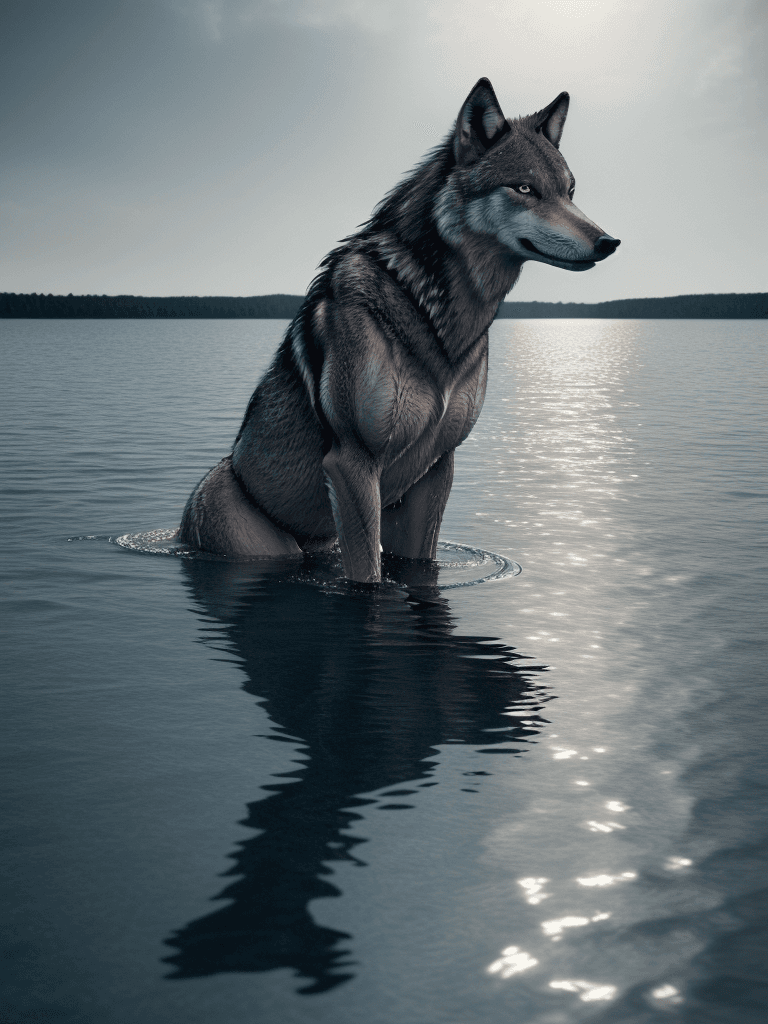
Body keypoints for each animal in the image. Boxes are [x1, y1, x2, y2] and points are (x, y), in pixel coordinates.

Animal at [178, 78, 620, 582]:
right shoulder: (353, 463)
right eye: (525, 188)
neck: (439, 317)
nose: (608, 242)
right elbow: (368, 578)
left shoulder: (437, 467)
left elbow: (420, 563)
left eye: (570, 191)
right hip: (266, 542)